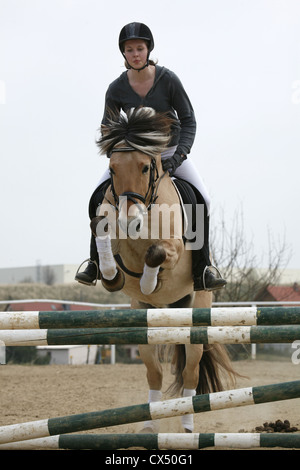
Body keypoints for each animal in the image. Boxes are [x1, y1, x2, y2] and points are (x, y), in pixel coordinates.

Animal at [91, 107, 241, 434]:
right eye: (112, 169)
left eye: (146, 167)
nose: (130, 221)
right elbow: (102, 228)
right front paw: (109, 273)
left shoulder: (173, 250)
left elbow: (156, 252)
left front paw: (149, 282)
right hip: (144, 327)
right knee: (155, 373)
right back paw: (149, 426)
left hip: (195, 316)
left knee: (190, 373)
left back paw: (186, 427)